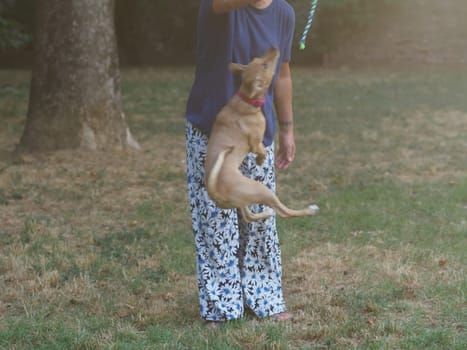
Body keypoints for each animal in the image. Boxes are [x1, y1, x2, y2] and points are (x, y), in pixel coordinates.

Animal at [205, 46, 318, 223]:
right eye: (264, 66)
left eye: (257, 58)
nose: (274, 47)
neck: (245, 100)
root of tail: (214, 191)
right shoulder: (255, 142)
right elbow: (261, 150)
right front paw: (260, 160)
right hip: (260, 189)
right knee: (284, 212)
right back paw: (309, 210)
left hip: (242, 199)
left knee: (248, 216)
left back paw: (265, 214)